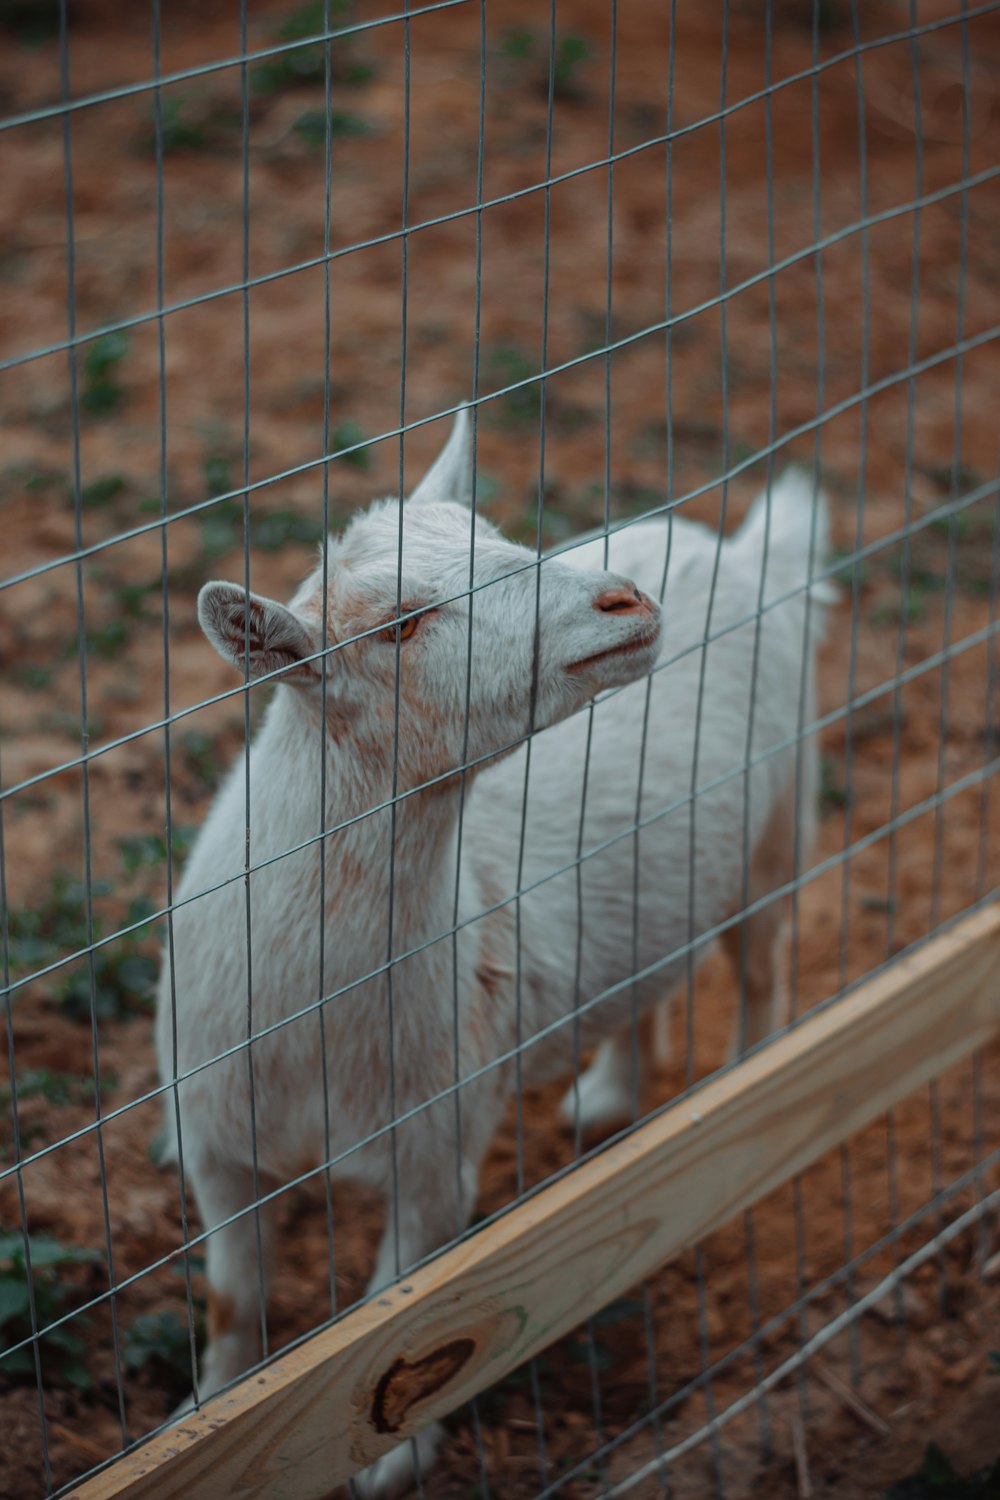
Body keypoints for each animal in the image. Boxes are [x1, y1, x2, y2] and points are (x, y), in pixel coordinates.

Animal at [154, 414, 827, 1500]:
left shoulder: (439, 1138)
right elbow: (232, 1298)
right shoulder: (214, 1138)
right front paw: (206, 1411)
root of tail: (746, 549)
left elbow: (402, 1304)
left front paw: (391, 1459)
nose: (624, 601)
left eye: (498, 537)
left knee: (762, 968)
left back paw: (746, 1082)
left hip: (781, 824)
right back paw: (610, 1092)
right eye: (399, 626)